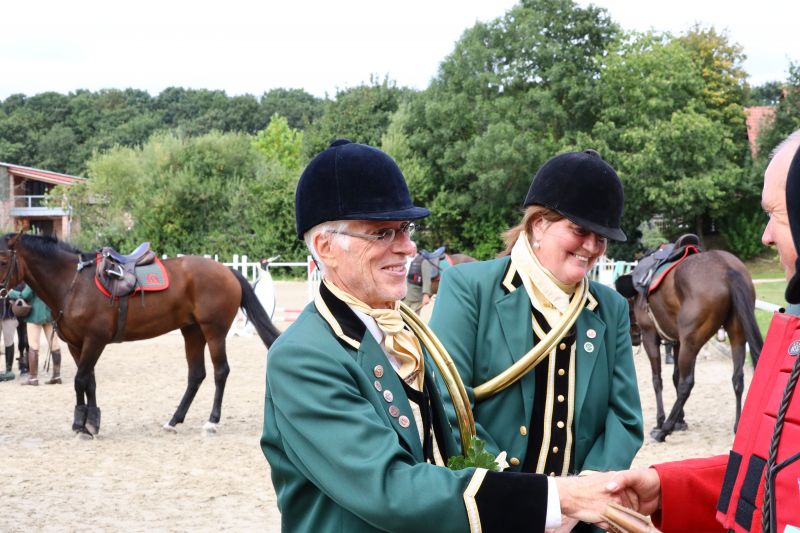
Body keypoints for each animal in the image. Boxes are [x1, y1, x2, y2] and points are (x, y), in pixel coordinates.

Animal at [0, 233, 281, 437]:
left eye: (3, 261)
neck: (74, 284)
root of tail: (226, 270)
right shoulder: (76, 345)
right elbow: (88, 381)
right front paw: (90, 422)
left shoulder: (94, 341)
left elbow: (80, 380)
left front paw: (82, 425)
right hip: (192, 331)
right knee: (196, 375)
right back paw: (173, 420)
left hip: (214, 331)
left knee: (220, 371)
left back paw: (212, 421)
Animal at [615, 250, 763, 442]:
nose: (633, 338)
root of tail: (726, 268)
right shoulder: (678, 342)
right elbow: (675, 377)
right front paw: (680, 420)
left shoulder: (650, 337)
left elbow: (658, 380)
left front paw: (661, 421)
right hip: (736, 334)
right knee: (737, 378)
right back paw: (738, 425)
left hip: (691, 342)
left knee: (687, 384)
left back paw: (664, 430)